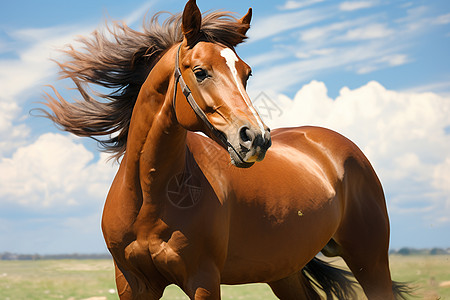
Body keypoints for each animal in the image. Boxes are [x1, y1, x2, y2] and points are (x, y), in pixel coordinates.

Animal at [42, 0, 412, 300]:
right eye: (200, 72)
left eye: (246, 74)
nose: (256, 138)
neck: (150, 198)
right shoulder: (133, 284)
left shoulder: (203, 280)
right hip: (286, 272)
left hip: (369, 260)